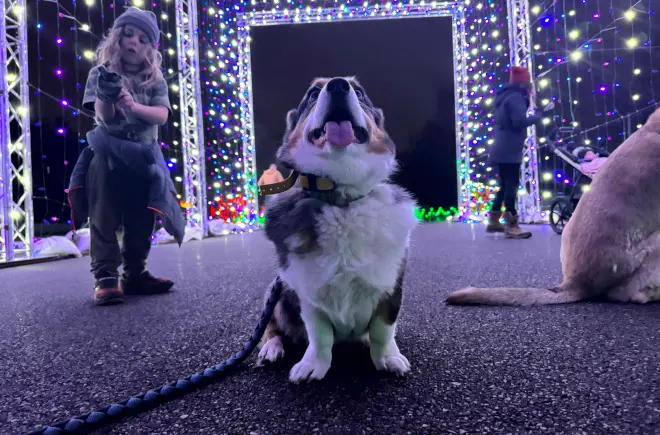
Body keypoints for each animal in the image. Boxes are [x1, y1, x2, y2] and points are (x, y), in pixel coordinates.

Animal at [255, 76, 416, 384]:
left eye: (360, 92)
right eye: (313, 93)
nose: (339, 85)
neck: (342, 200)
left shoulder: (390, 285)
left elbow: (383, 330)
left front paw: (387, 359)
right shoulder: (306, 292)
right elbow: (320, 336)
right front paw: (312, 366)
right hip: (275, 291)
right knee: (271, 326)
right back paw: (271, 348)